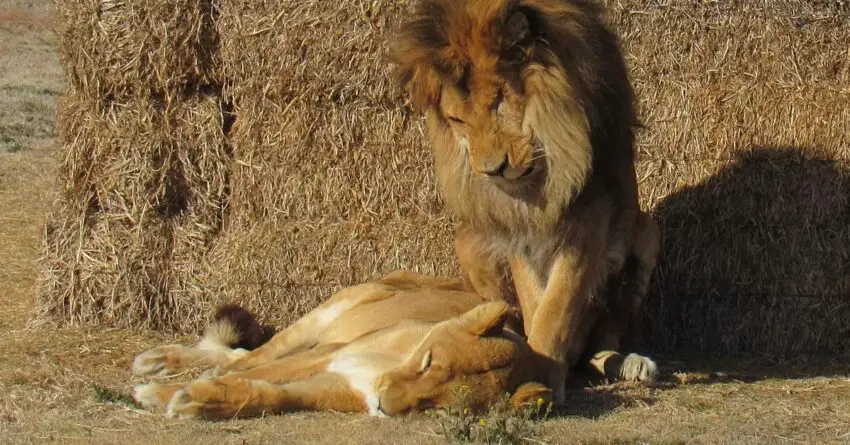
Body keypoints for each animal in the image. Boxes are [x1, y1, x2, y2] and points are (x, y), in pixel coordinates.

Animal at [390, 0, 664, 402]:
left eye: (499, 102)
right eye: (457, 120)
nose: (492, 170)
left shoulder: (591, 216)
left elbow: (558, 306)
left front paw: (542, 372)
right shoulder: (516, 226)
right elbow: (535, 303)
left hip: (646, 234)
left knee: (599, 343)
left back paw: (627, 363)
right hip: (466, 242)